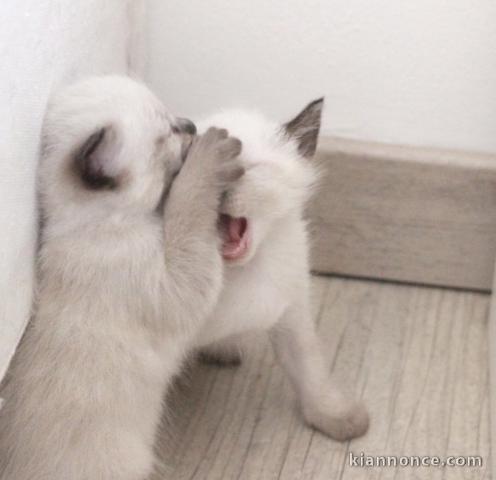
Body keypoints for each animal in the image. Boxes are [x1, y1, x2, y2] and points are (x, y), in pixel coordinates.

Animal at [0, 77, 244, 478]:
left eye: (175, 119)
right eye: (168, 134)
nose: (191, 125)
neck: (95, 220)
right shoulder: (177, 285)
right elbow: (188, 208)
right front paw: (211, 159)